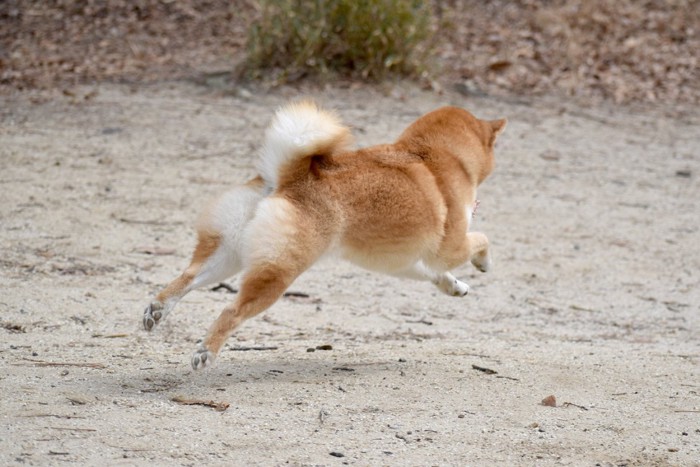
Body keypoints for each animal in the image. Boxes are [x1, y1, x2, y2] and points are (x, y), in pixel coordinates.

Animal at [142, 101, 506, 370]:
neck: (431, 154)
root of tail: (288, 176)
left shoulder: (406, 262)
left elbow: (436, 275)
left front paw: (455, 286)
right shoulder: (450, 247)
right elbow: (482, 238)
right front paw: (484, 263)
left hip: (228, 255)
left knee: (187, 278)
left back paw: (156, 311)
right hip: (277, 273)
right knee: (232, 312)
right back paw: (206, 351)